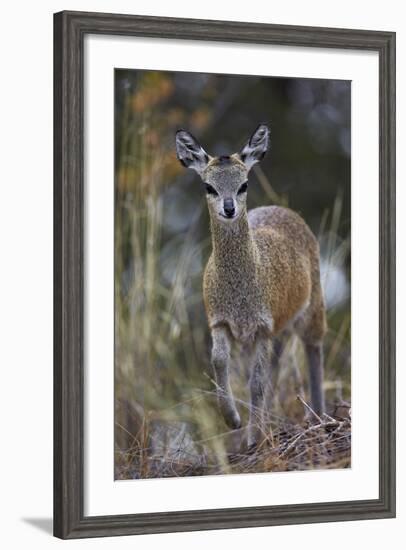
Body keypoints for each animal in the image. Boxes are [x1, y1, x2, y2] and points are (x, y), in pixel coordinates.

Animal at [174, 125, 326, 448]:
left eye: (243, 183)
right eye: (209, 187)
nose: (229, 208)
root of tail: (284, 209)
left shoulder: (261, 327)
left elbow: (256, 383)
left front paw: (253, 437)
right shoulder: (219, 321)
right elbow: (220, 362)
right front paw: (234, 421)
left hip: (312, 308)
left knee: (313, 346)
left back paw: (319, 417)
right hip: (280, 331)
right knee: (277, 367)